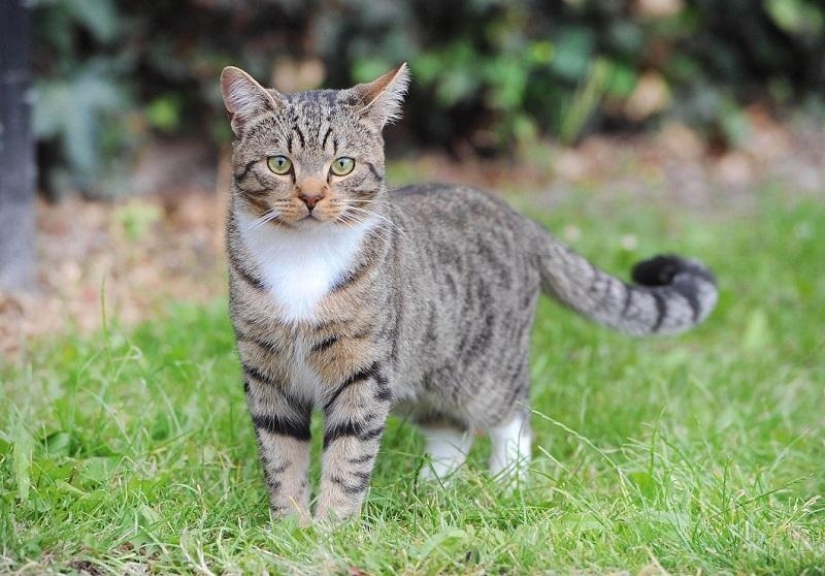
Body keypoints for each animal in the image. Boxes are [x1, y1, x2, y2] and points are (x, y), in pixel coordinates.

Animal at [217, 63, 716, 520]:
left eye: (342, 166)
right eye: (279, 163)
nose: (311, 197)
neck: (303, 259)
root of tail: (517, 216)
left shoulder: (365, 372)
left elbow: (348, 458)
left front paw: (331, 532)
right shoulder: (267, 374)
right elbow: (282, 458)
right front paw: (290, 529)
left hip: (484, 369)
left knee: (513, 416)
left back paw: (507, 482)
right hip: (425, 367)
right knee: (449, 428)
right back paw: (432, 488)